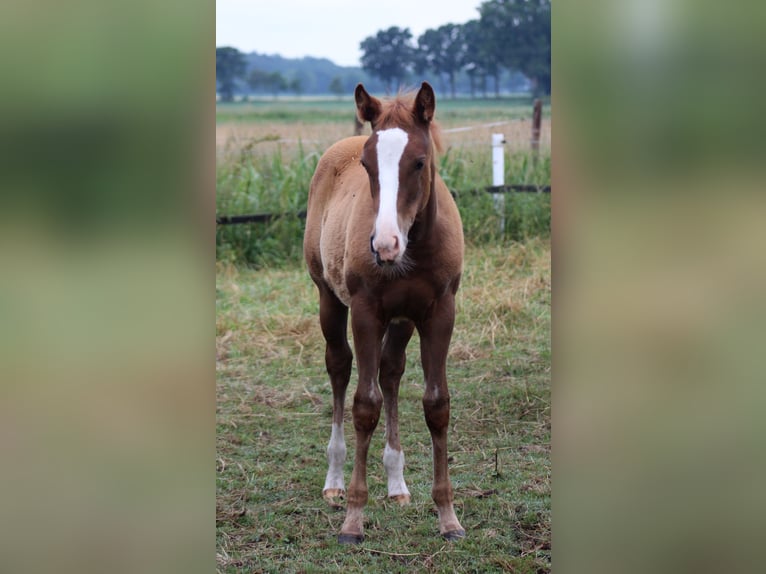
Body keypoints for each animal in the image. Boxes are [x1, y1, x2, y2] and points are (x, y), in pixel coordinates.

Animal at [303, 82, 465, 544]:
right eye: (367, 164)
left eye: (420, 162)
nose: (384, 245)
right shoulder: (365, 312)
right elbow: (364, 405)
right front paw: (353, 520)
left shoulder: (439, 312)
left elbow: (436, 405)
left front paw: (448, 517)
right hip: (329, 297)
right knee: (339, 367)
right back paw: (335, 480)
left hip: (403, 320)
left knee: (391, 372)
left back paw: (397, 484)